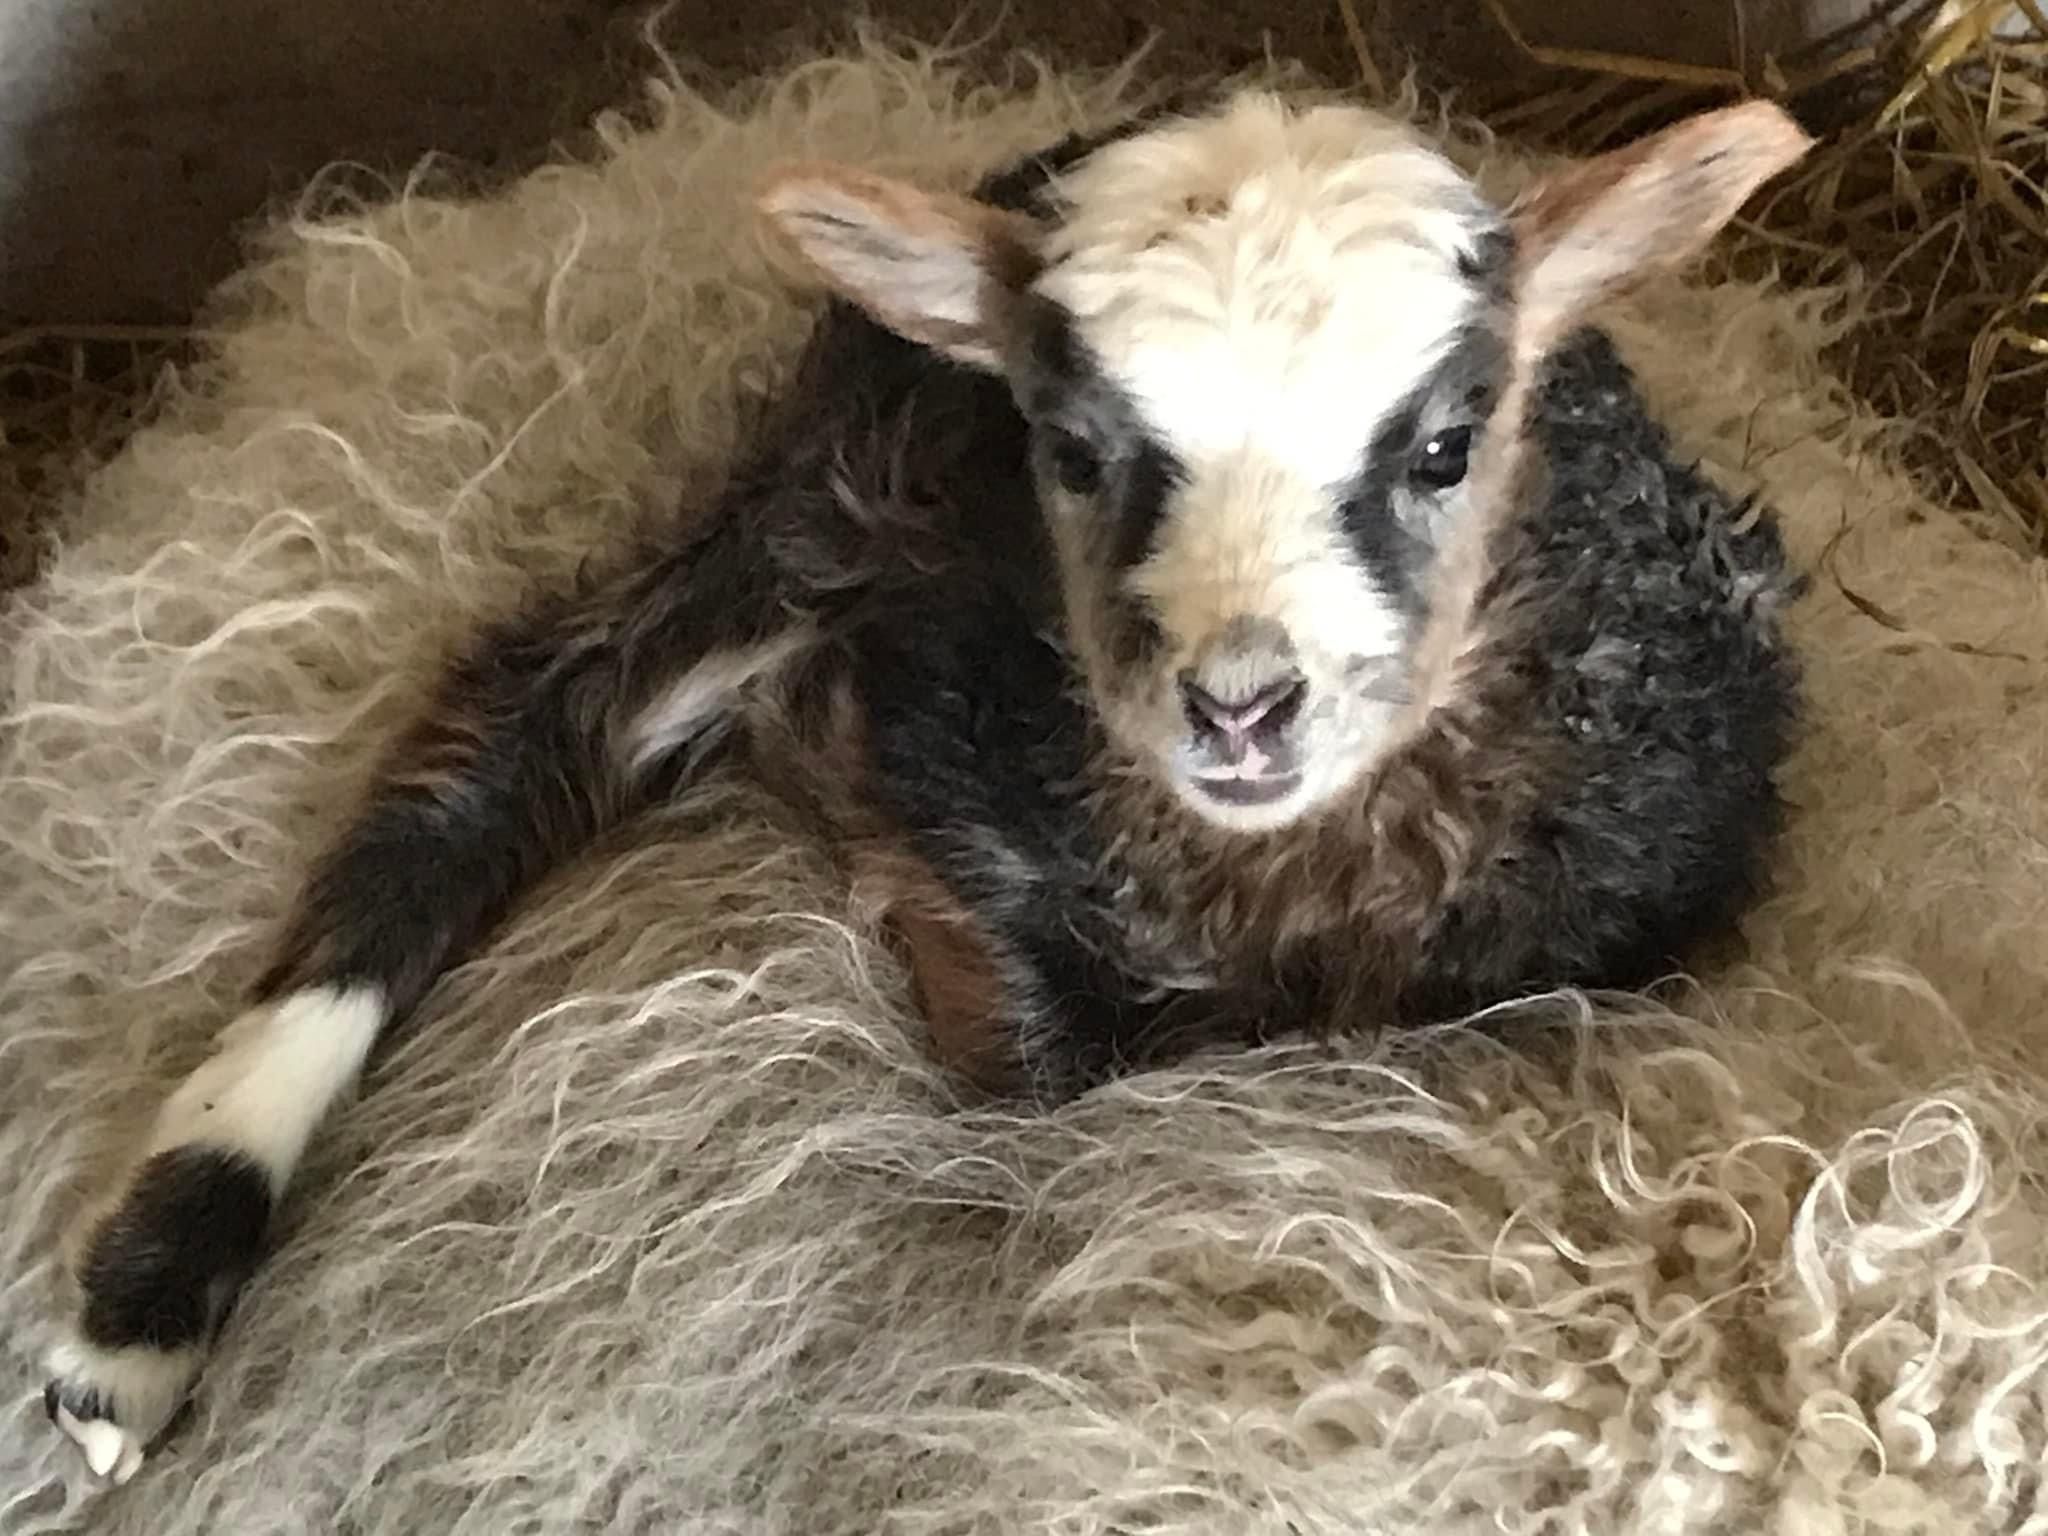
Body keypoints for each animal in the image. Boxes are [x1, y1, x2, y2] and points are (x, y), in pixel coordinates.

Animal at [41, 89, 1812, 1484]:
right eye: (1074, 448)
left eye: (1448, 443)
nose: (1241, 702)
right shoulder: (927, 746)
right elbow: (1026, 1051)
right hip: (814, 504)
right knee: (508, 730)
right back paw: (144, 1300)